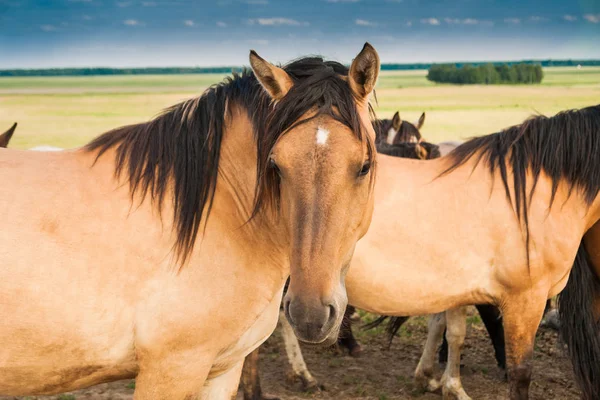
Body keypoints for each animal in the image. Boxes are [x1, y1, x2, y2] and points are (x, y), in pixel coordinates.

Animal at [0, 44, 380, 400]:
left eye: (364, 166)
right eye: (275, 166)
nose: (310, 314)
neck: (220, 212)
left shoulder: (222, 370)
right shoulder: (173, 369)